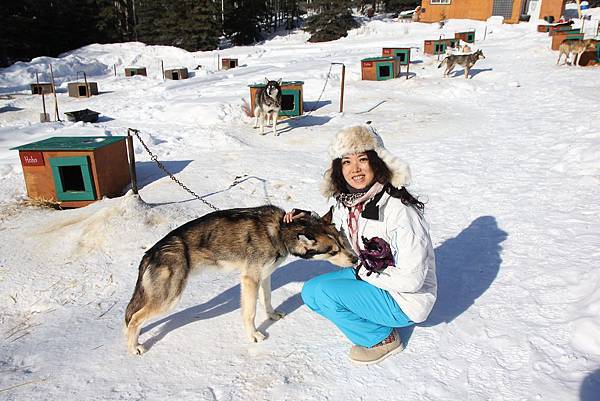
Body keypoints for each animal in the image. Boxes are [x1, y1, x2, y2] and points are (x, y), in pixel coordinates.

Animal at [123, 205, 356, 352]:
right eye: (333, 251)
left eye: (342, 241)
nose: (355, 259)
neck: (279, 231)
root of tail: (152, 251)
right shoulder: (250, 280)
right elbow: (250, 313)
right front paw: (253, 335)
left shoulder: (265, 276)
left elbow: (267, 300)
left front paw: (271, 316)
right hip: (169, 298)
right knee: (134, 319)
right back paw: (134, 347)